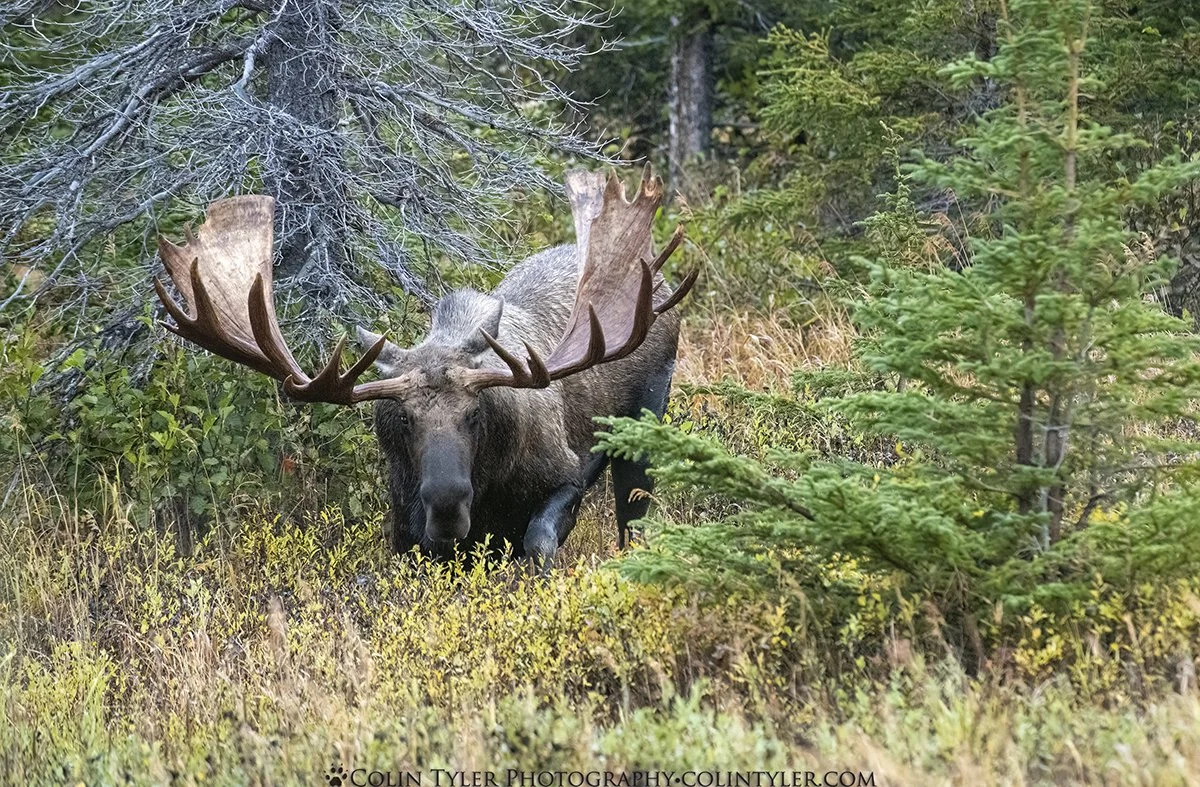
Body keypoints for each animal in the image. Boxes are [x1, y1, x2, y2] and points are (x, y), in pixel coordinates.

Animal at [153, 168, 694, 566]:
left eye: (474, 414)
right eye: (405, 418)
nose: (447, 504)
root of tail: (662, 283)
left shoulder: (566, 477)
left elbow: (538, 542)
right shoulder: (404, 532)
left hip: (646, 421)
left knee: (632, 520)